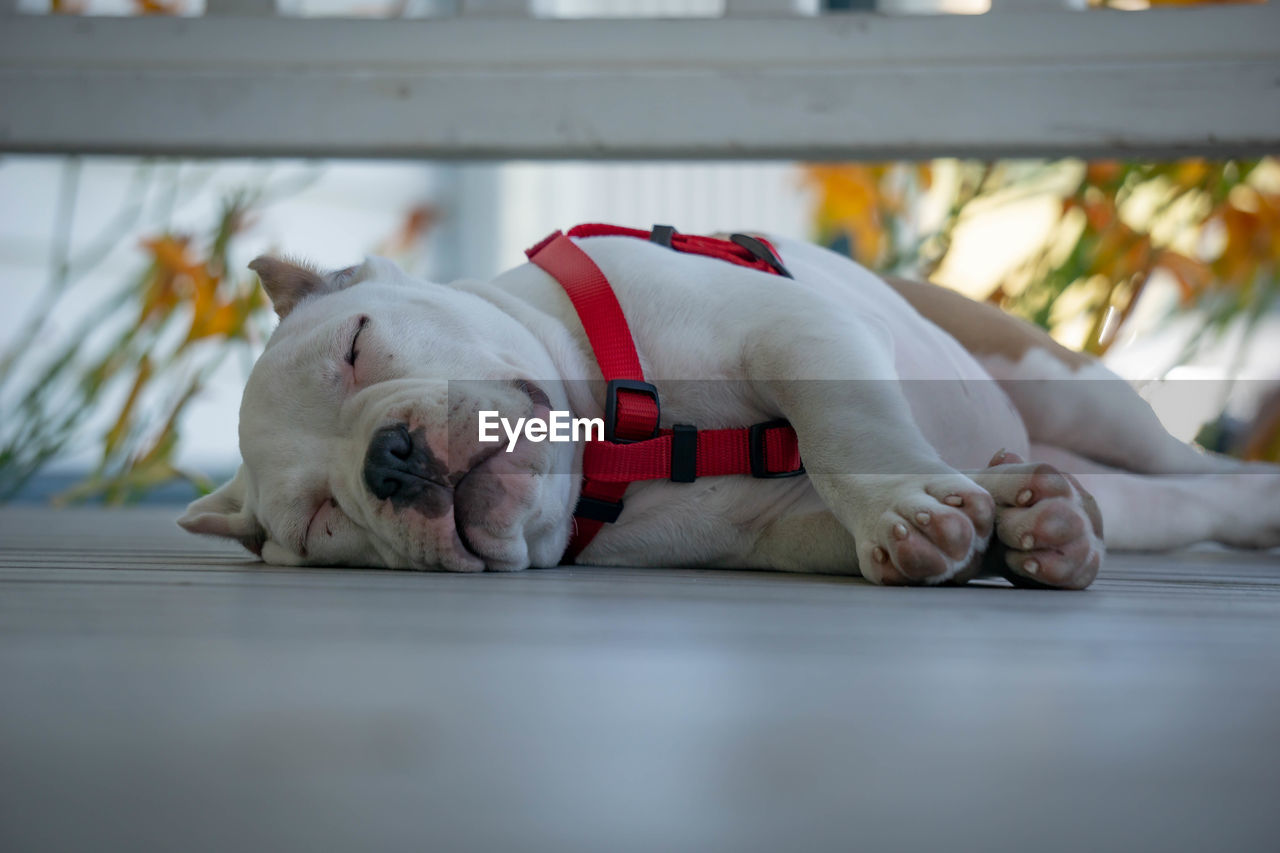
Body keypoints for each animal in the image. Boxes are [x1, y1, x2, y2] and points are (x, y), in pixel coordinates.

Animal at [177, 225, 1280, 589]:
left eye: (358, 346)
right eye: (322, 523)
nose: (389, 459)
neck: (613, 448)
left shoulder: (794, 332)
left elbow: (847, 433)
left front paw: (904, 503)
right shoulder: (774, 528)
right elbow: (833, 514)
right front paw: (1002, 526)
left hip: (1071, 388)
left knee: (1185, 463)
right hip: (1125, 481)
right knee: (1177, 504)